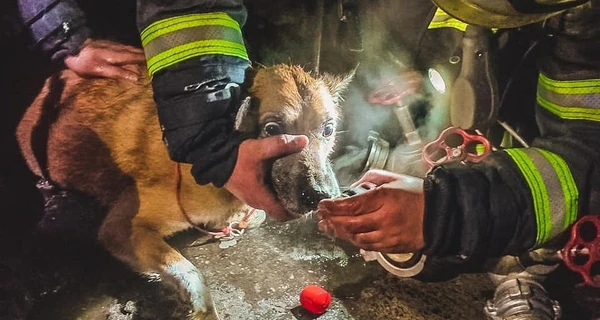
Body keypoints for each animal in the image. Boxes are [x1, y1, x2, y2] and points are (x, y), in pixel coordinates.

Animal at [16, 63, 352, 318]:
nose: (321, 196)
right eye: (272, 130)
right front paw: (202, 305)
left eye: (328, 129)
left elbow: (253, 216)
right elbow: (189, 270)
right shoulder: (121, 227)